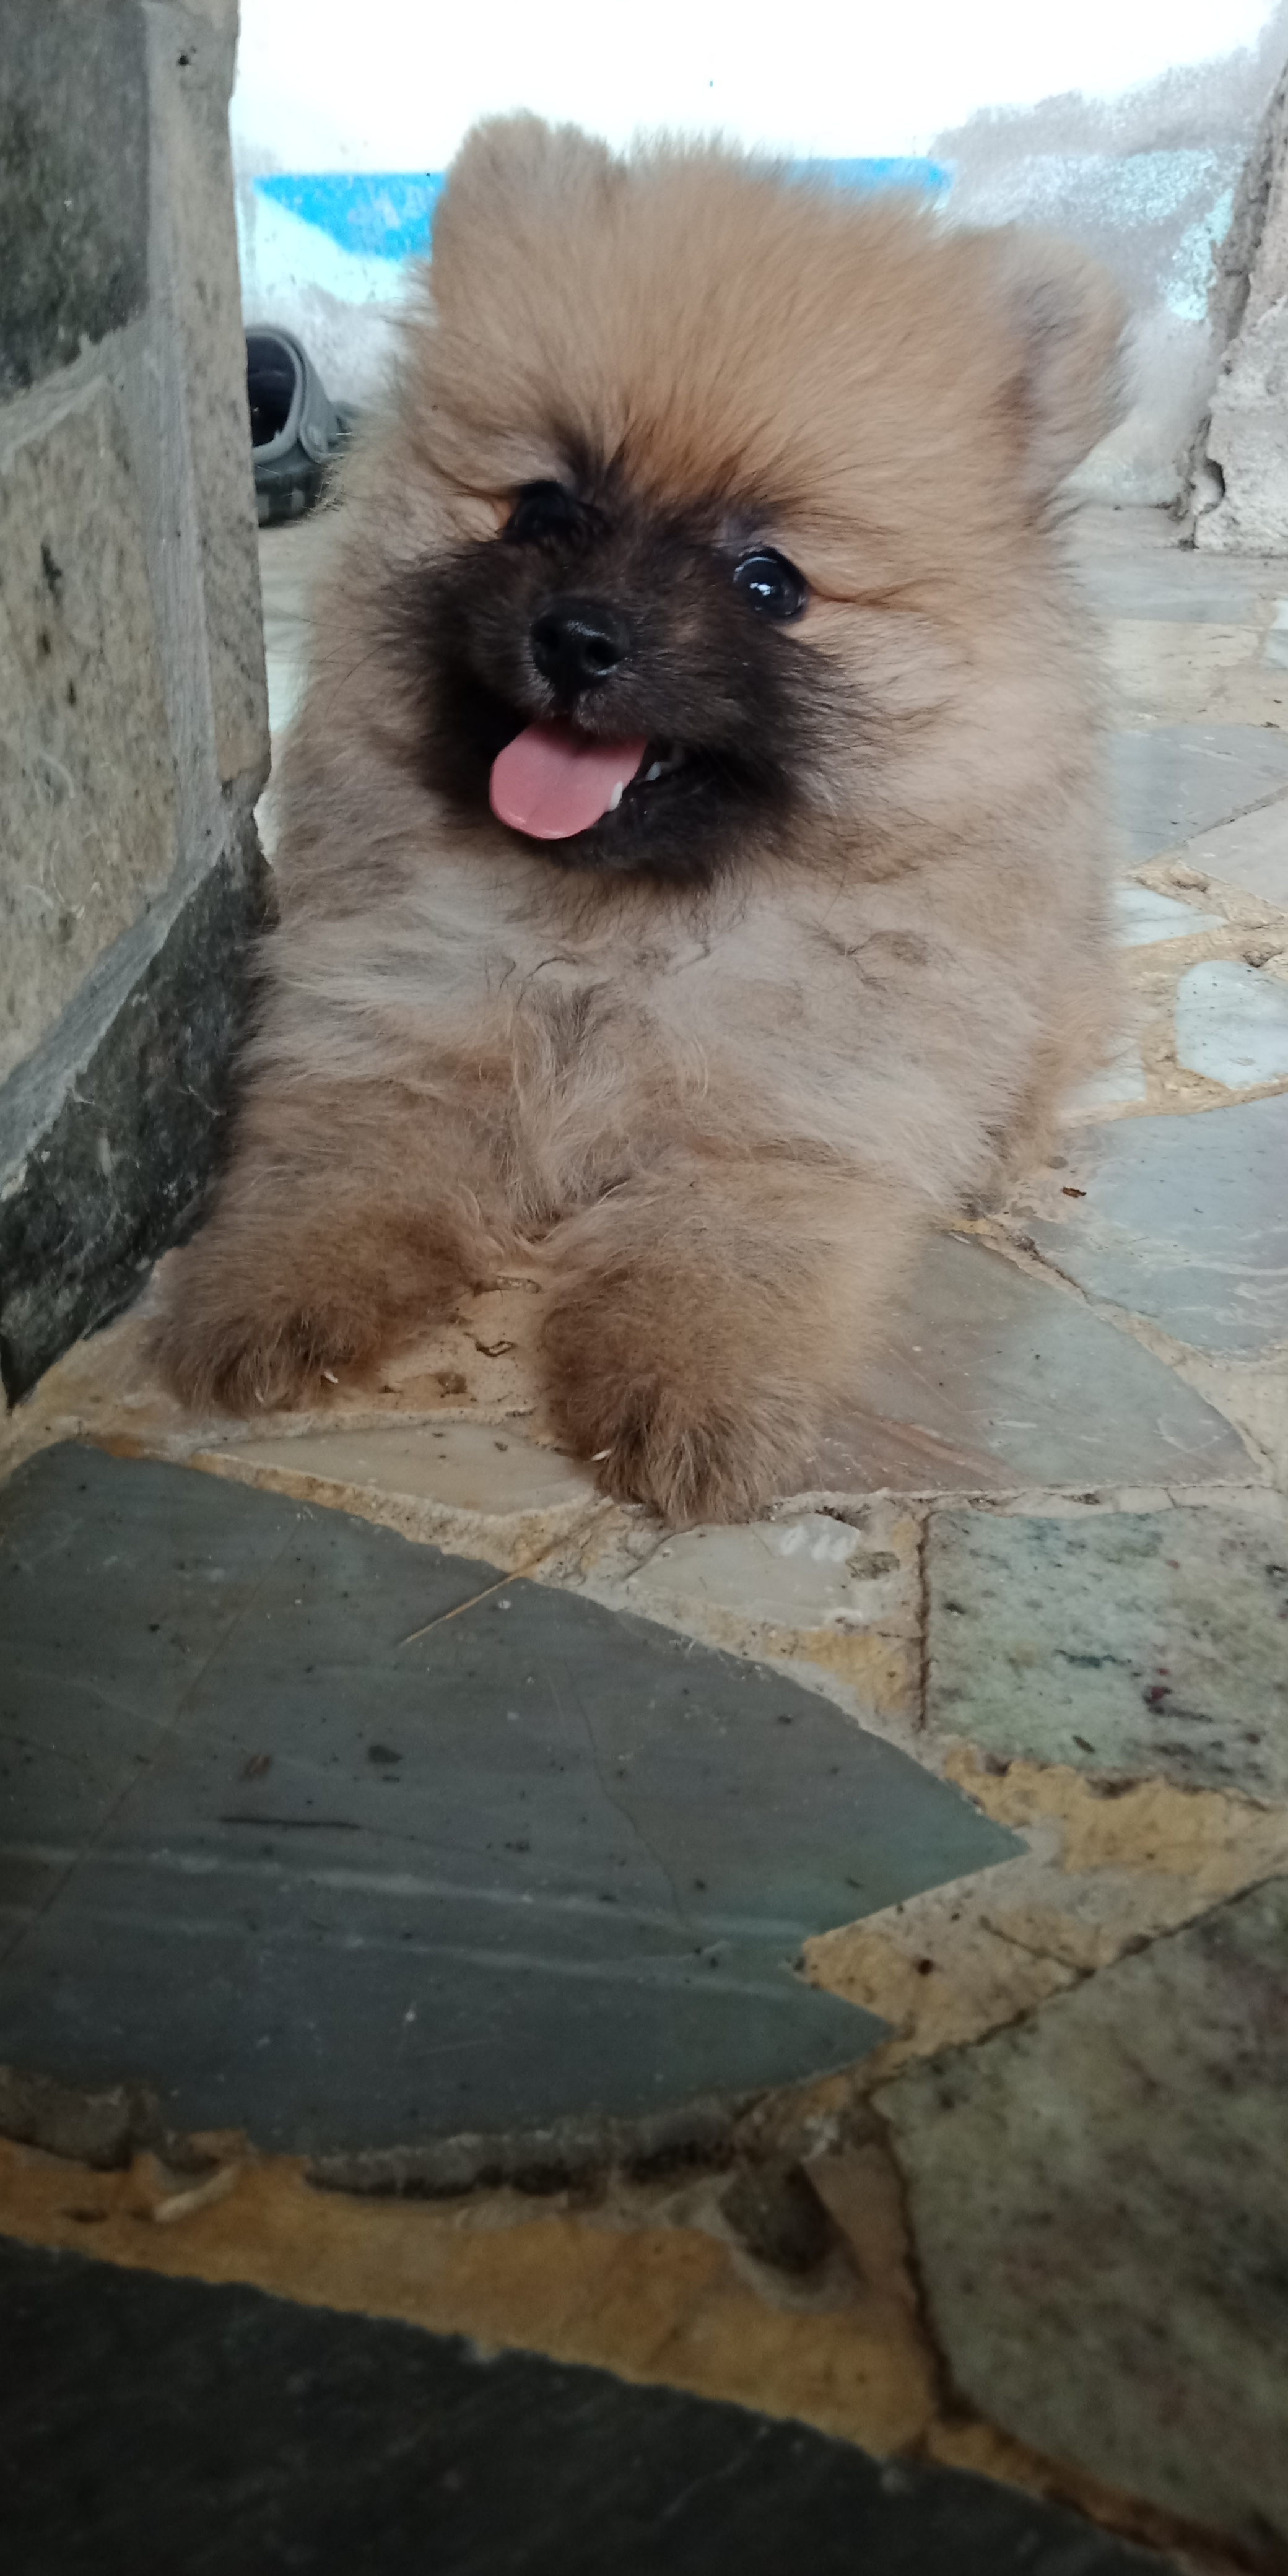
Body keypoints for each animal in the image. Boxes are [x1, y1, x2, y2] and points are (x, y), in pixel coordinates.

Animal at [154, 117, 1124, 1523]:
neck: (616, 939)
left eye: (769, 583)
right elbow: (331, 1173)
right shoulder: (396, 1028)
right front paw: (262, 1300)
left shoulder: (777, 1128)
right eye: (544, 509)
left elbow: (710, 1261)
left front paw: (687, 1401)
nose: (578, 636)